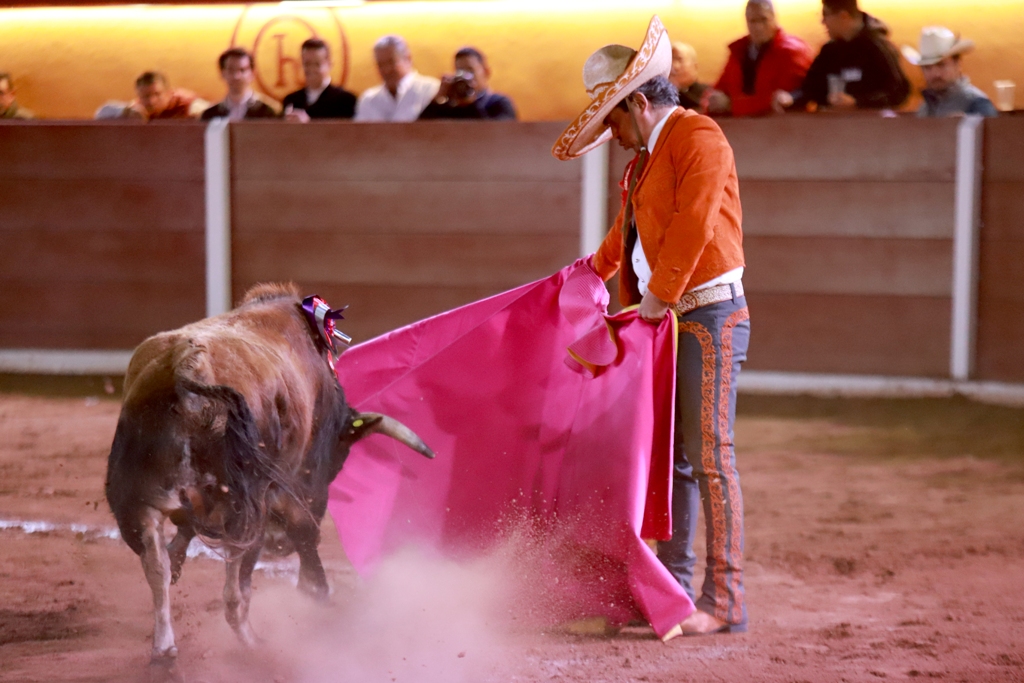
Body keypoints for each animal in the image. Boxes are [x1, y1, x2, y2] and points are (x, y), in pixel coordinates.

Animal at [105, 282, 434, 667]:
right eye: (337, 459)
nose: (280, 545)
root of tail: (186, 367)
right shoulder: (295, 487)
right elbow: (305, 535)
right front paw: (317, 592)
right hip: (243, 503)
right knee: (238, 575)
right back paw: (250, 640)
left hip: (139, 503)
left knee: (156, 565)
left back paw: (165, 649)